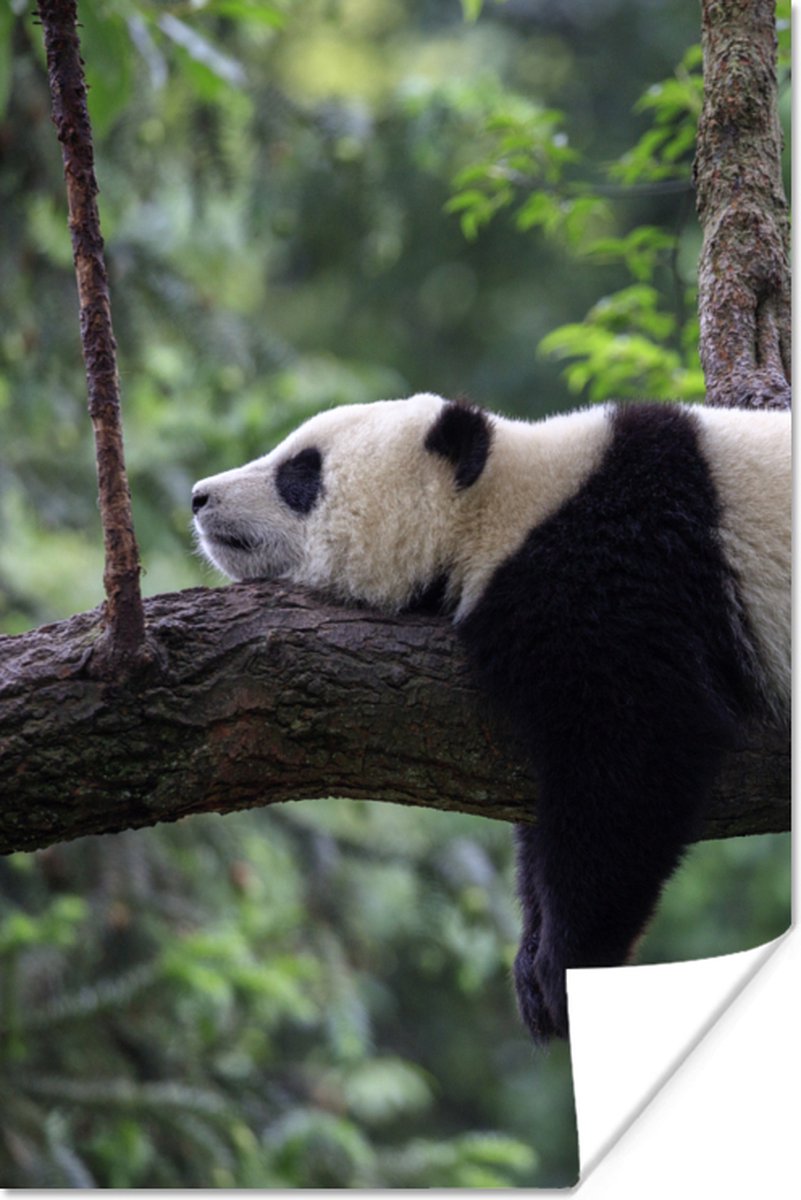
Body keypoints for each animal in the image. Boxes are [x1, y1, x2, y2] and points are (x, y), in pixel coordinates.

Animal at [192, 393, 790, 1042]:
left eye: (301, 473)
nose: (199, 496)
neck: (505, 502)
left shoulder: (622, 568)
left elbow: (639, 749)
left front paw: (568, 966)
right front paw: (532, 963)